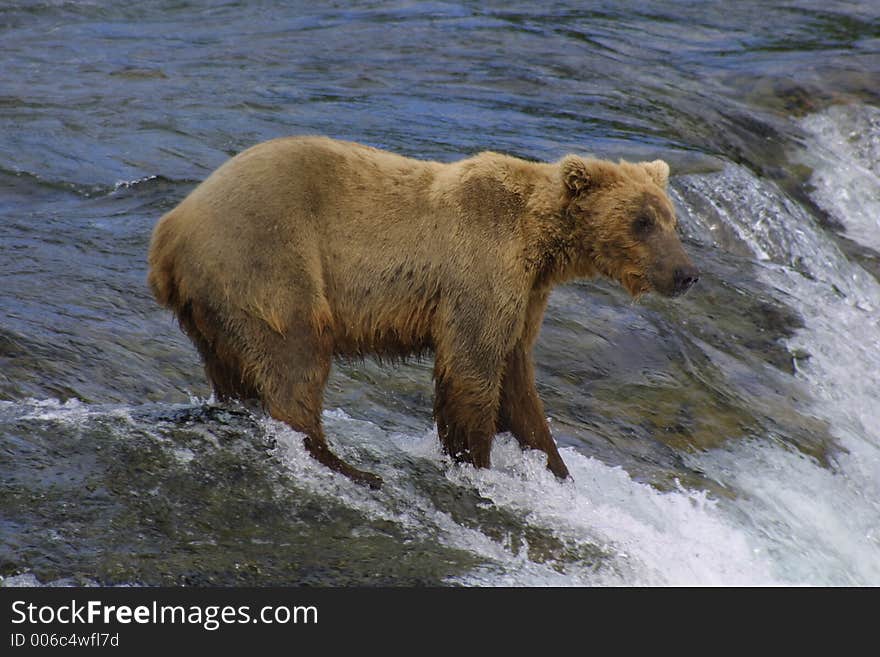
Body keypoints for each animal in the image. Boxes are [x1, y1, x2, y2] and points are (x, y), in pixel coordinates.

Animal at [151, 137, 700, 486]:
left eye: (671, 220)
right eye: (642, 221)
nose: (687, 273)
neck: (540, 244)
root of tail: (169, 228)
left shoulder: (525, 297)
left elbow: (516, 377)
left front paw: (555, 468)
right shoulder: (479, 268)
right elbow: (472, 367)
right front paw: (475, 462)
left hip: (214, 303)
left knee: (233, 366)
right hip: (268, 256)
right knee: (295, 352)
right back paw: (346, 465)